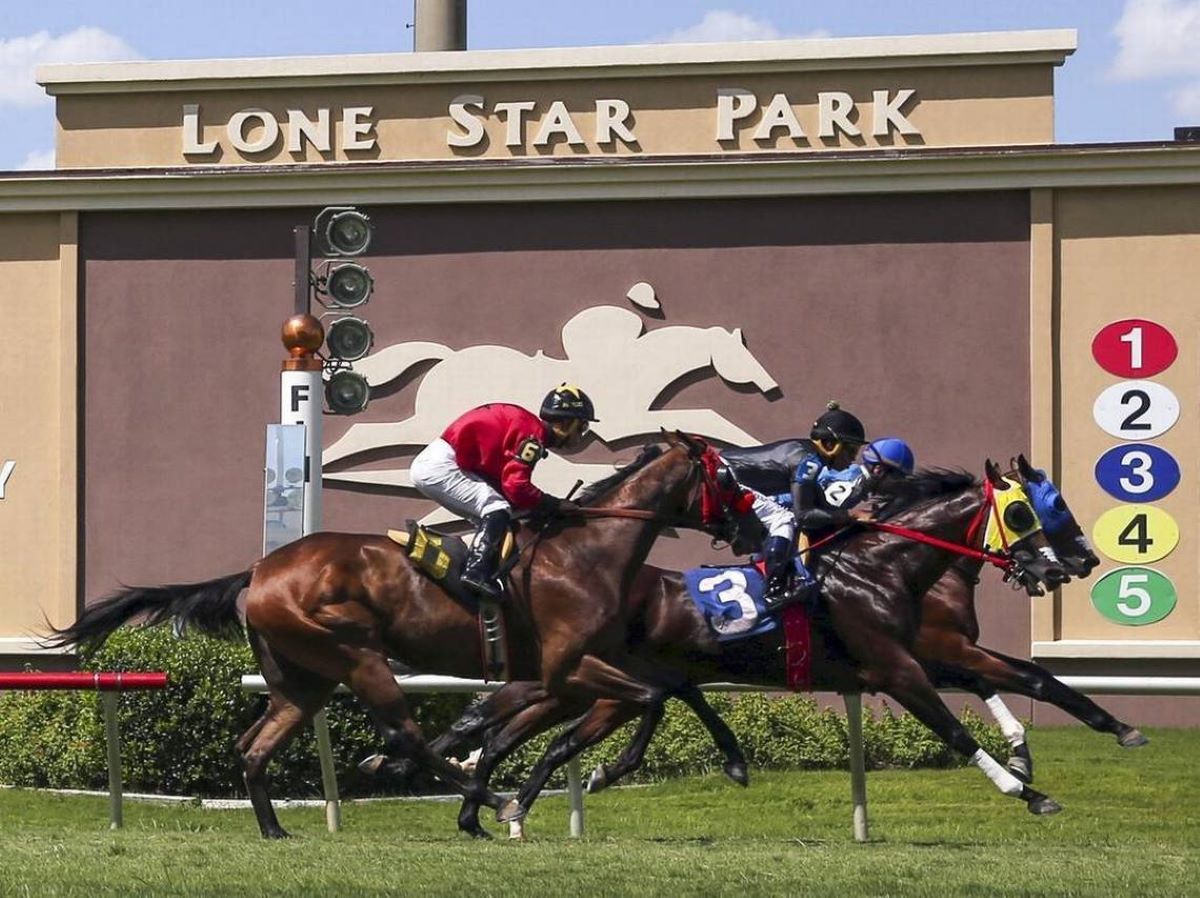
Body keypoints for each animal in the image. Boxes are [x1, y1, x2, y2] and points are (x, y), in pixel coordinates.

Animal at [42, 432, 739, 840]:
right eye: (727, 477)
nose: (745, 525)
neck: (585, 553)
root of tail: (260, 570)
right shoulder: (565, 666)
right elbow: (651, 698)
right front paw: (604, 770)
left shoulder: (596, 661)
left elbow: (677, 687)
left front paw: (731, 759)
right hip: (355, 654)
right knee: (404, 734)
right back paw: (488, 799)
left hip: (302, 681)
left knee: (255, 746)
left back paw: (275, 830)